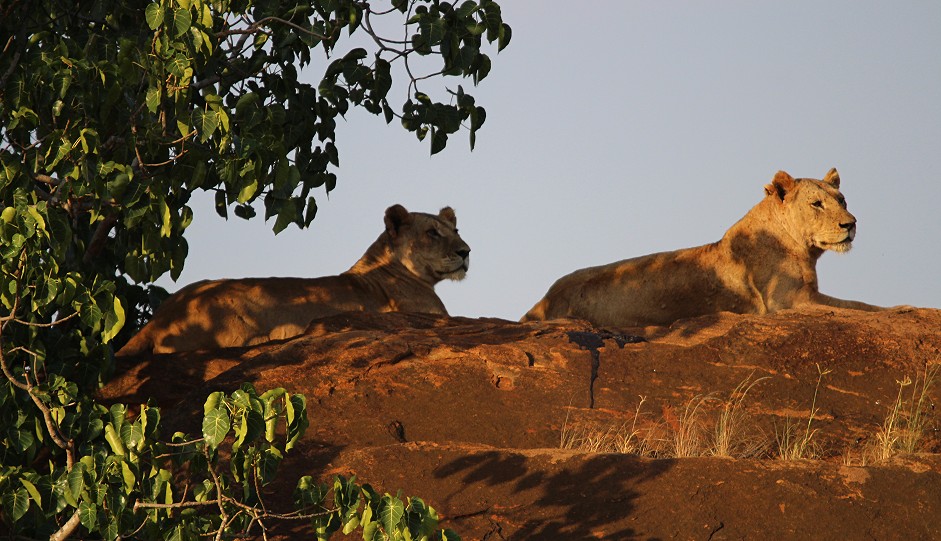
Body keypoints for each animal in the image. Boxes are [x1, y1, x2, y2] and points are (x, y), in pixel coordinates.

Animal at [516, 169, 892, 326]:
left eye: (842, 200)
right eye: (816, 203)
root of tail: (540, 303)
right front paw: (902, 309)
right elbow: (858, 307)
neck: (803, 249)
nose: (851, 224)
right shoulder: (787, 301)